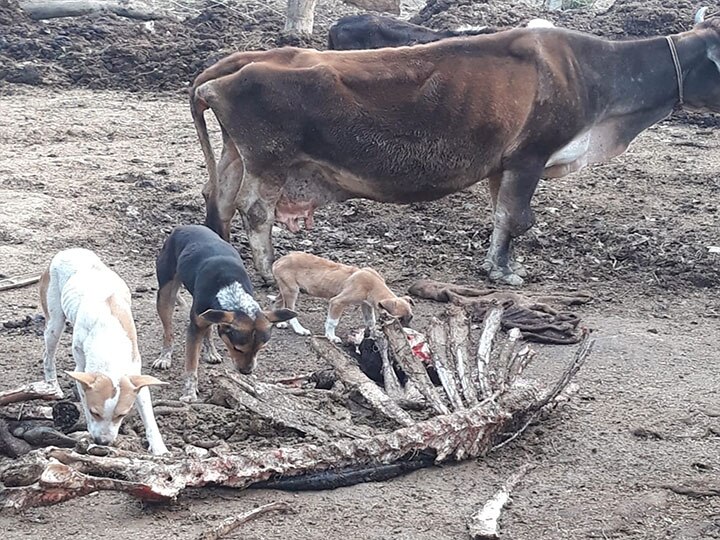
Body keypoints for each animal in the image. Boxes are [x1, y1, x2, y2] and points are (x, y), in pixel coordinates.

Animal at [39, 249, 169, 456]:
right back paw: (53, 384)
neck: (109, 342)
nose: (103, 442)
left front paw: (159, 449)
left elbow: (149, 418)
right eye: (95, 412)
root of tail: (68, 251)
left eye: (122, 414)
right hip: (54, 324)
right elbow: (84, 402)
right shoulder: (81, 372)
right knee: (47, 356)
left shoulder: (136, 379)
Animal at [152, 225, 296, 400]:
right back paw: (164, 357)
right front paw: (189, 393)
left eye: (260, 349)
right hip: (166, 294)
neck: (229, 287)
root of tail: (183, 227)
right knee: (168, 330)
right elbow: (191, 365)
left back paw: (211, 352)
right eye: (237, 348)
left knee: (208, 328)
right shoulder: (195, 328)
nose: (246, 372)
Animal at [190, 8, 720, 286]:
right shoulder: (529, 157)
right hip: (270, 161)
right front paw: (505, 274)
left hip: (238, 157)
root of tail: (236, 63)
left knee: (220, 200)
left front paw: (500, 263)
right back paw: (265, 269)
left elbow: (503, 218)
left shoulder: (503, 166)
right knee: (255, 211)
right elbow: (518, 218)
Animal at [272, 252, 414, 344]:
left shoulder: (366, 305)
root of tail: (279, 260)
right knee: (290, 310)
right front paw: (331, 336)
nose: (407, 337)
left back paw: (280, 322)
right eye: (399, 319)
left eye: (411, 318)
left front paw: (375, 335)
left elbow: (370, 322)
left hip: (285, 289)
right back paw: (300, 330)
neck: (373, 285)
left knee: (278, 302)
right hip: (291, 290)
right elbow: (332, 321)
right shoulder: (337, 302)